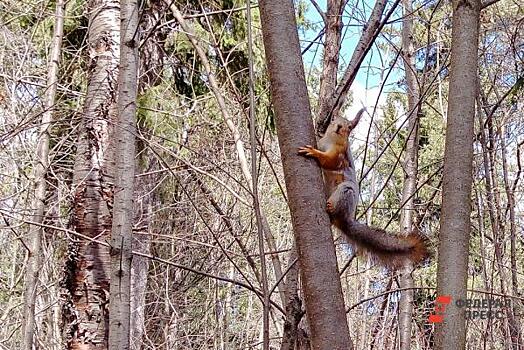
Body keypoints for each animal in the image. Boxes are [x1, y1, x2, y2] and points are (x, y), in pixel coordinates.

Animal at [298, 109, 430, 268]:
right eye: (333, 119)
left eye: (349, 127)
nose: (339, 127)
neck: (331, 138)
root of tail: (346, 220)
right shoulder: (322, 142)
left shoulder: (339, 153)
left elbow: (329, 161)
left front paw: (313, 152)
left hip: (346, 192)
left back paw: (331, 208)